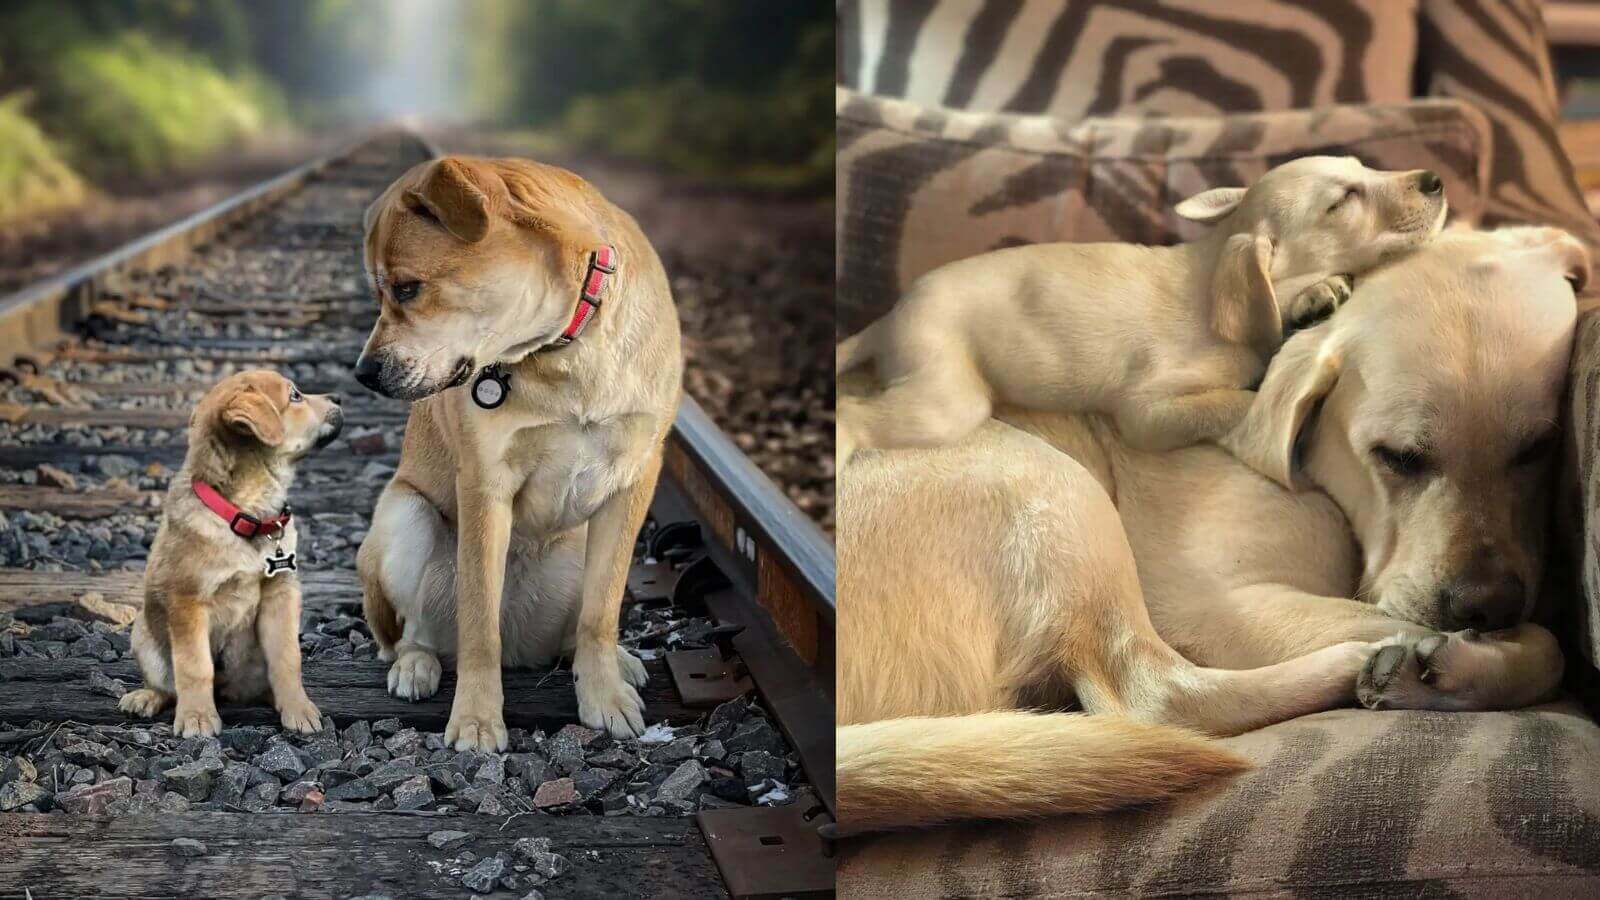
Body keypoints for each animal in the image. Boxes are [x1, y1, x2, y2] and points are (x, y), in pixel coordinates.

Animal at [120, 368, 342, 733]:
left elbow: (287, 659)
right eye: (295, 395)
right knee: (166, 684)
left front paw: (298, 708)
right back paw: (145, 698)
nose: (338, 397)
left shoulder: (281, 594)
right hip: (143, 634)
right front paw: (197, 717)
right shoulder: (187, 601)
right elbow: (194, 667)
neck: (248, 514)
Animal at [353, 156, 678, 749]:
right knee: (416, 632)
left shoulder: (634, 478)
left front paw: (605, 697)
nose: (363, 373)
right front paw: (478, 720)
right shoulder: (485, 483)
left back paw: (616, 661)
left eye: (407, 289)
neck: (566, 347)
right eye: (381, 294)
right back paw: (415, 665)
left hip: (577, 548)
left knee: (577, 629)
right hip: (405, 515)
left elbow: (601, 613)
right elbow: (480, 626)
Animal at [838, 155, 1452, 464]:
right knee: (855, 417)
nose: (1436, 180)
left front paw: (1315, 296)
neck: (1215, 268)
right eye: (1342, 200)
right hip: (947, 399)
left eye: (1362, 165)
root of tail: (887, 321)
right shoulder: (1145, 410)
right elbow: (1234, 401)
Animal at [838, 227, 1587, 832]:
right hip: (1051, 485)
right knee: (1157, 698)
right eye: (1397, 457)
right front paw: (1457, 659)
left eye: (1540, 447)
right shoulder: (1224, 603)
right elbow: (1546, 646)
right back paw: (1377, 661)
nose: (1485, 608)